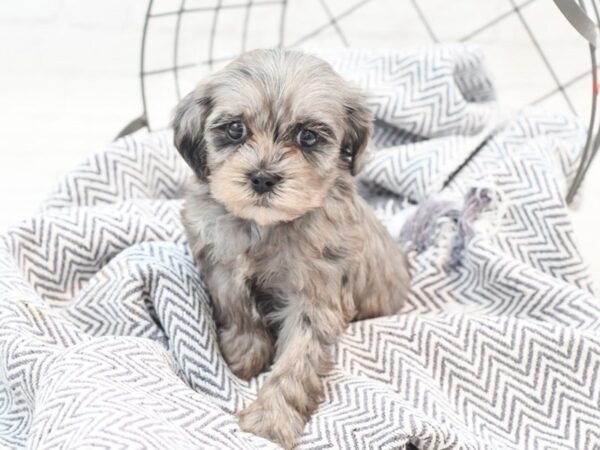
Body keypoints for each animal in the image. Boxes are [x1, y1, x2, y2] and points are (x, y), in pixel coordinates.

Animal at [171, 47, 410, 448]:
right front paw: (245, 355)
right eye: (235, 130)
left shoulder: (315, 298)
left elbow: (297, 361)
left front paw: (271, 420)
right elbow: (236, 308)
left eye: (308, 137)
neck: (265, 227)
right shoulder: (220, 260)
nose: (263, 178)